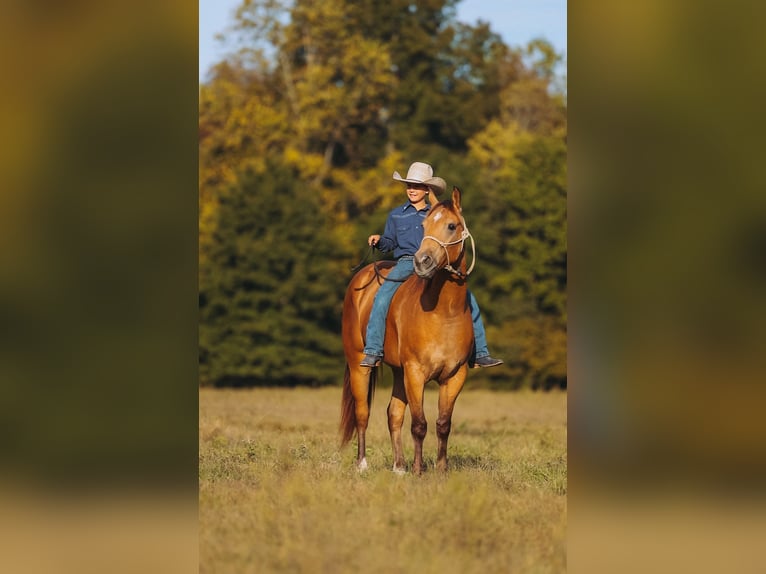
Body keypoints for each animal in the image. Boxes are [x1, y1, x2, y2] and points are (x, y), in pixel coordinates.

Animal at [340, 186, 475, 474]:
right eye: (424, 225)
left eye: (451, 225)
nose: (422, 262)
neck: (444, 312)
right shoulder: (416, 373)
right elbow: (420, 424)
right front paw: (418, 469)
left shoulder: (454, 376)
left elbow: (443, 424)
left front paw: (441, 469)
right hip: (359, 365)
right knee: (362, 413)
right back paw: (363, 463)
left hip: (398, 371)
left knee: (393, 413)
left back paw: (399, 465)